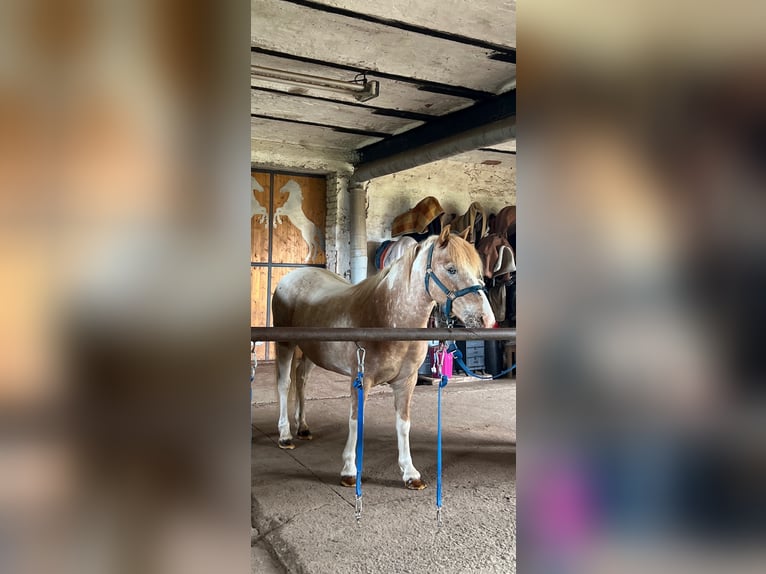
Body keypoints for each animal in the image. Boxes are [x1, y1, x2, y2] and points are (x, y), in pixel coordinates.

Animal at [271, 225, 496, 490]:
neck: (387, 316)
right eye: (451, 269)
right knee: (285, 384)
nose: (487, 320)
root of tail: (291, 277)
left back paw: (303, 427)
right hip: (285, 345)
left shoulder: (406, 382)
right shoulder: (361, 380)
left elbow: (403, 423)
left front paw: (410, 473)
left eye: (478, 271)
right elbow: (355, 421)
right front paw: (349, 471)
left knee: (302, 381)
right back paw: (285, 435)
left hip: (310, 352)